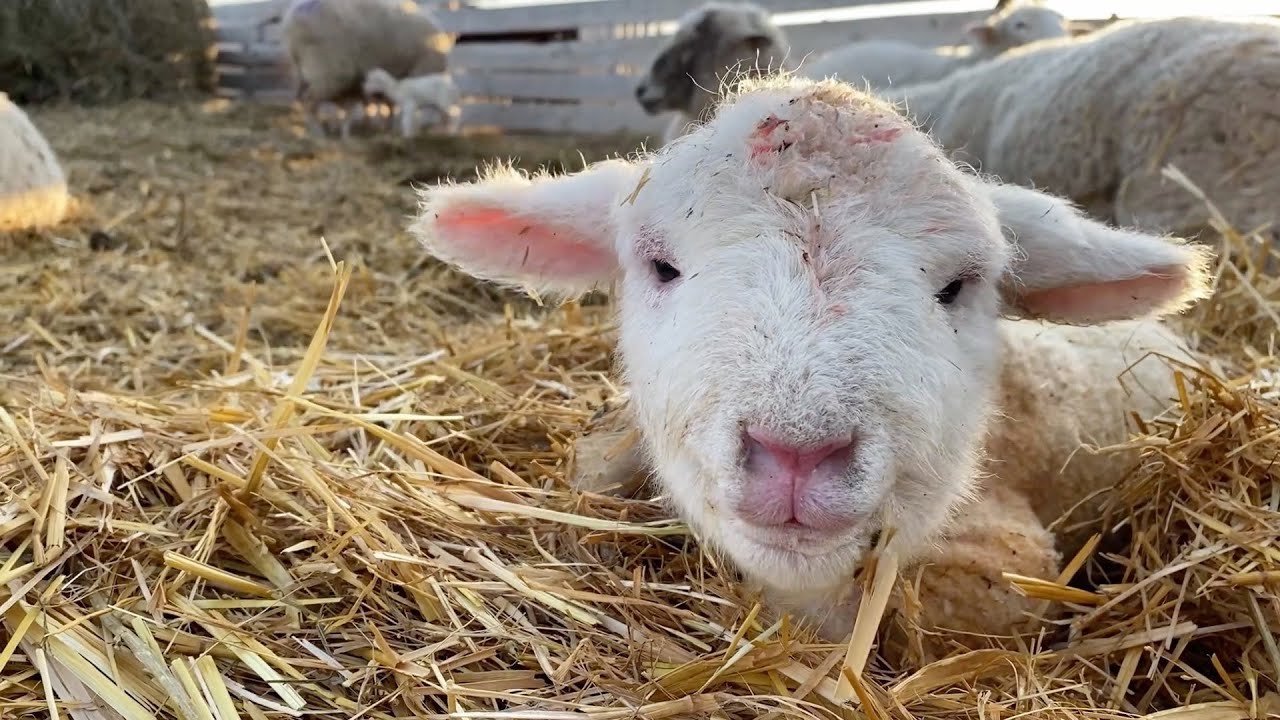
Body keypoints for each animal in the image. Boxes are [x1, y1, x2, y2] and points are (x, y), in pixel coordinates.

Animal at [282, 0, 454, 139]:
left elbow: (382, 106)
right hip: (328, 69)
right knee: (309, 102)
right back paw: (318, 133)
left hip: (303, 70)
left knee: (301, 99)